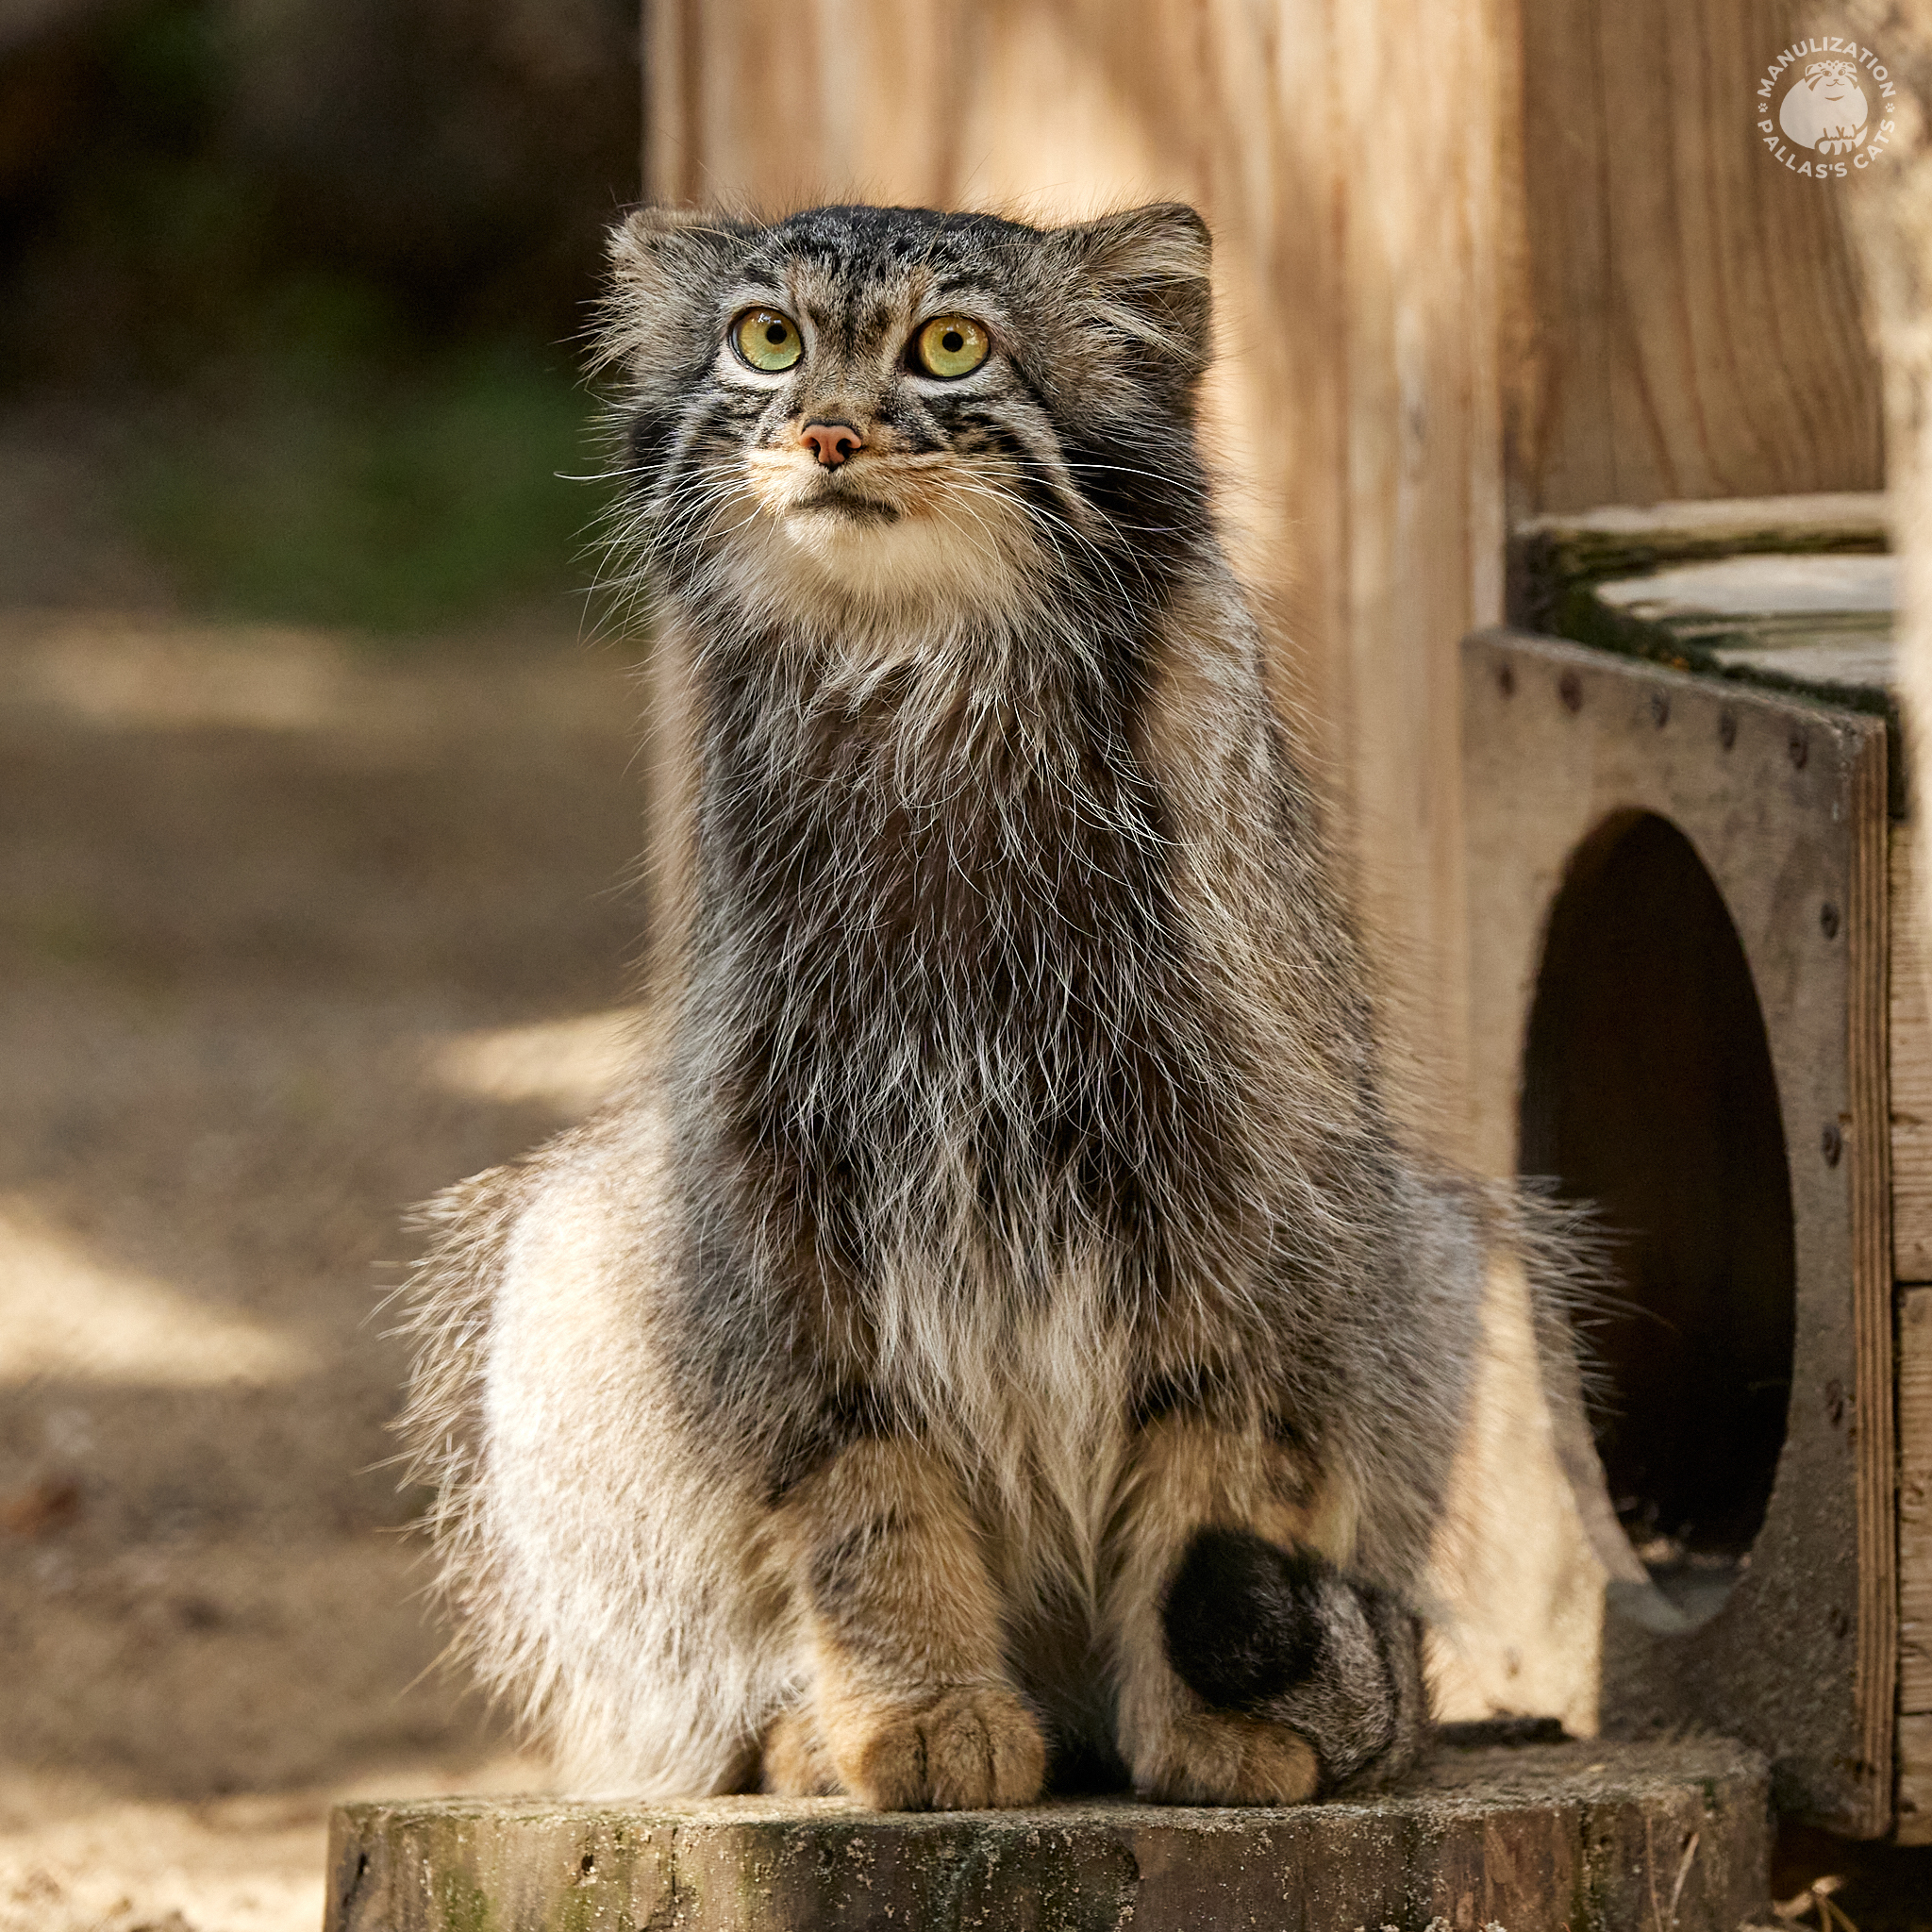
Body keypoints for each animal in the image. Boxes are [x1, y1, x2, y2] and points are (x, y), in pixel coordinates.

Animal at [408, 199, 1514, 1807]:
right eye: (768, 339)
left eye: (950, 347)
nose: (826, 432)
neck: (922, 708)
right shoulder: (776, 1209)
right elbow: (867, 1507)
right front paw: (918, 1716)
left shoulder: (1250, 1201)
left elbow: (1215, 1477)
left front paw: (1208, 1733)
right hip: (571, 1261)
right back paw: (803, 1730)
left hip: (1425, 1245)